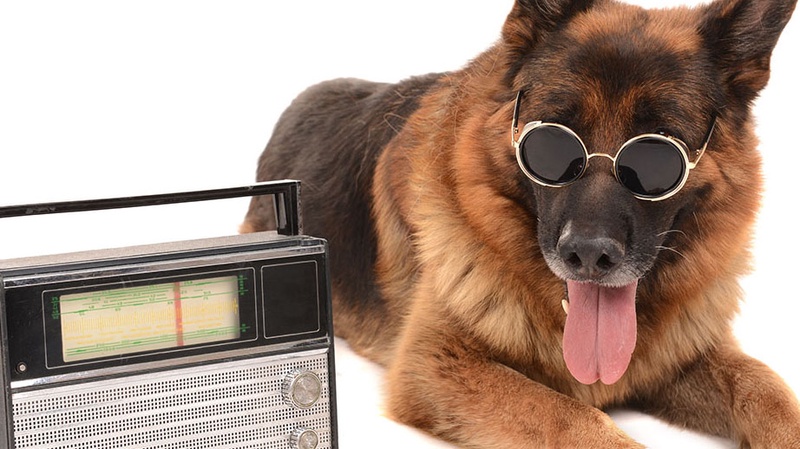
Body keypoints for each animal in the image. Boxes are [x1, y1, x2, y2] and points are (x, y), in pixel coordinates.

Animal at [244, 0, 800, 444]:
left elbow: (765, 387)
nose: (588, 254)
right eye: (551, 145)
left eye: (659, 157)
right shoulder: (434, 364)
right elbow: (569, 417)